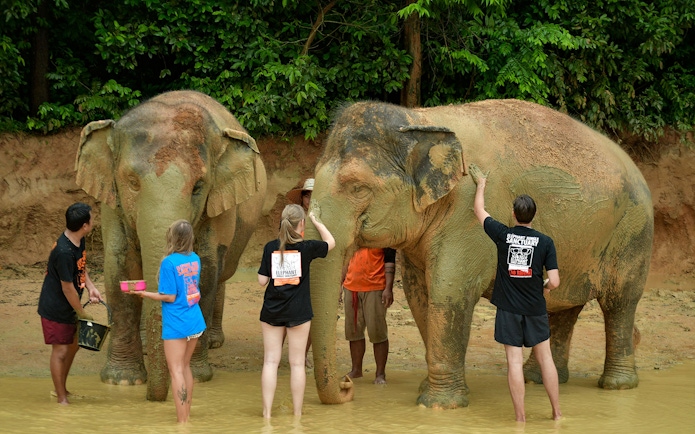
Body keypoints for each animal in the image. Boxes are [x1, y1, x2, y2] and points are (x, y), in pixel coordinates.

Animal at [75, 90, 267, 401]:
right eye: (132, 182)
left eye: (198, 186)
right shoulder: (112, 203)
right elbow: (119, 267)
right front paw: (122, 381)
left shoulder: (216, 205)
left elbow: (206, 270)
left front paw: (196, 376)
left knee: (222, 273)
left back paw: (213, 342)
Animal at [306, 99, 653, 408]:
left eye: (358, 188)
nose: (347, 385)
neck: (420, 118)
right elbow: (420, 297)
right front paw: (427, 391)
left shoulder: (466, 216)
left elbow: (448, 292)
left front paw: (439, 406)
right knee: (563, 307)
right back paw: (538, 380)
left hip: (633, 231)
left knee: (620, 302)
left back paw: (616, 385)